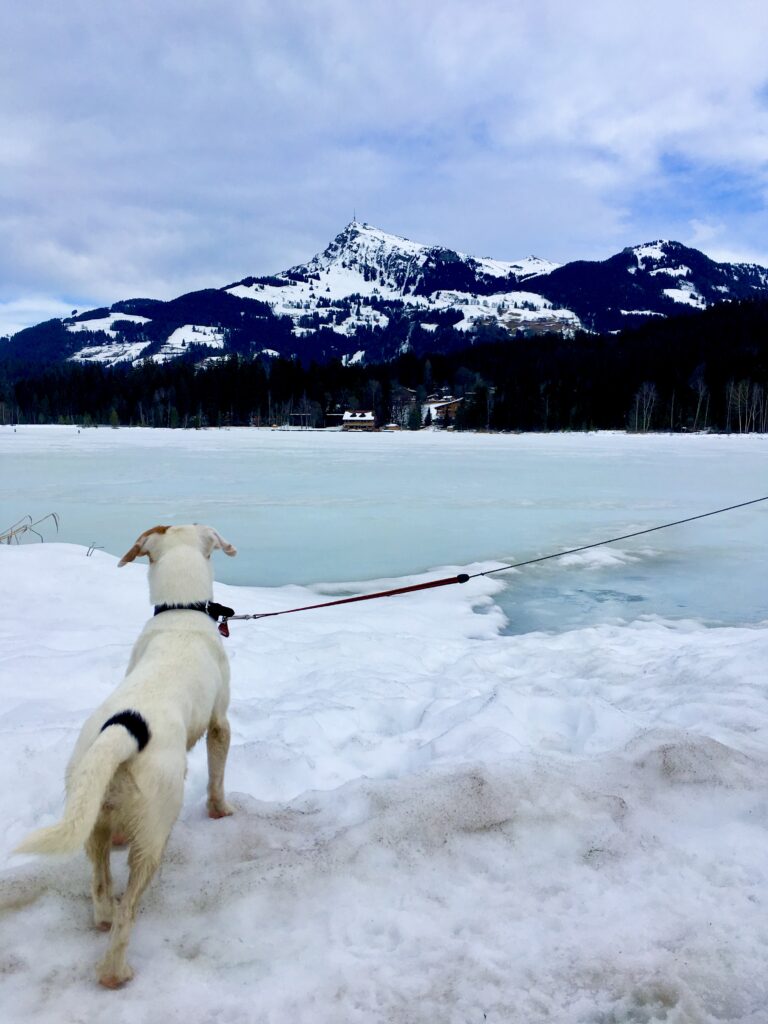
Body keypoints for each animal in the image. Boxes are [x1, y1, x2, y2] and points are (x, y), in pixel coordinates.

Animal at [15, 524, 237, 987]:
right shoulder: (220, 724)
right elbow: (217, 776)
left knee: (100, 888)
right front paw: (221, 812)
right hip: (154, 831)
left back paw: (102, 912)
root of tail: (122, 733)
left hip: (90, 812)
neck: (179, 612)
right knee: (126, 914)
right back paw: (116, 972)